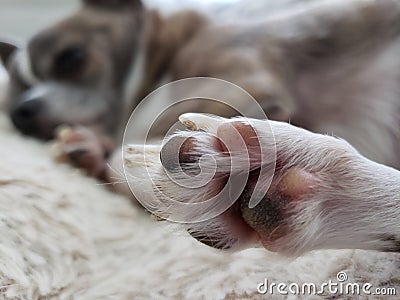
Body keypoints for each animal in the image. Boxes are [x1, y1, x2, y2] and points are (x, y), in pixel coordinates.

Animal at [0, 0, 398, 255]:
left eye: (72, 57)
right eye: (14, 98)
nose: (23, 110)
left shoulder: (238, 81)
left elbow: (163, 124)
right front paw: (91, 153)